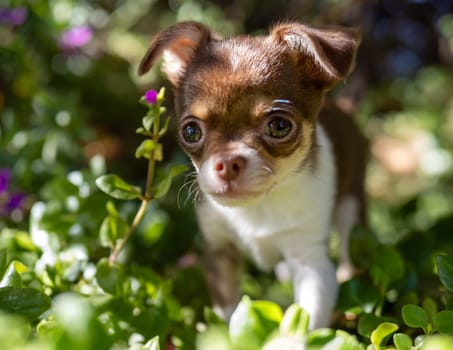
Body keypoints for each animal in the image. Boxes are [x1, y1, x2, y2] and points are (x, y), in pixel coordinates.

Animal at [139, 21, 368, 328]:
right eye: (191, 132)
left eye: (279, 126)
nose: (228, 162)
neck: (258, 207)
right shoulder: (219, 252)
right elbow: (227, 312)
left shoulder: (312, 264)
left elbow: (305, 319)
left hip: (351, 205)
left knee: (348, 244)